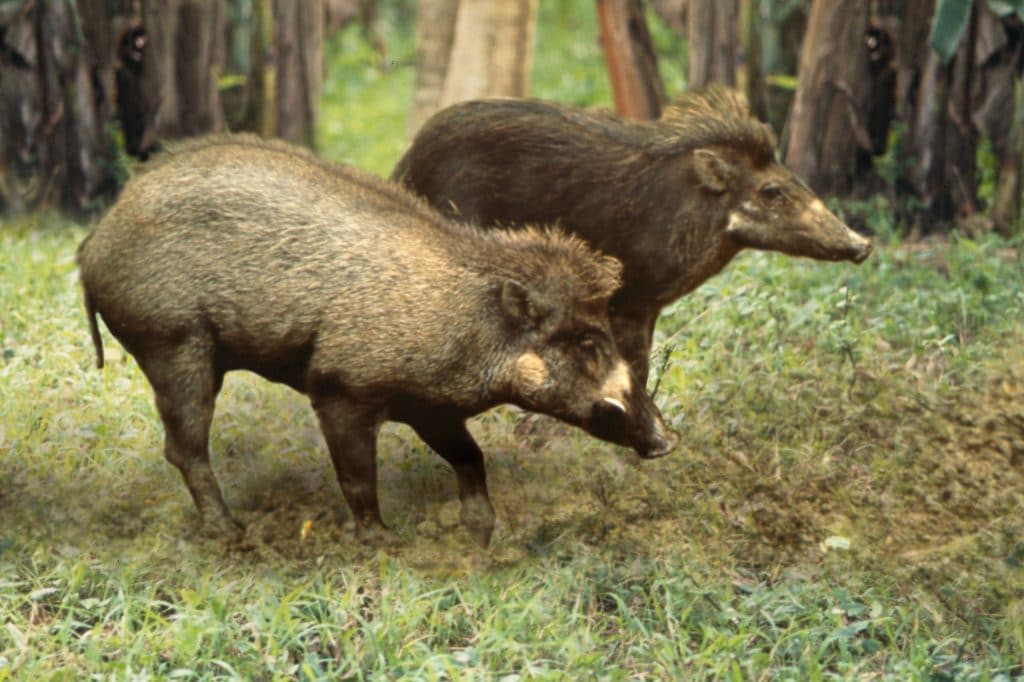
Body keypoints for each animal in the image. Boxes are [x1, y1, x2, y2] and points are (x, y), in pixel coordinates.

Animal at [75, 135, 675, 544]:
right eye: (587, 342)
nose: (666, 441)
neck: (466, 323)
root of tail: (94, 243)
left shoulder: (432, 408)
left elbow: (470, 457)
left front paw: (482, 534)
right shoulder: (340, 387)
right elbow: (358, 474)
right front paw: (383, 542)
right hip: (174, 344)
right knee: (184, 447)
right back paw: (232, 533)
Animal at [391, 83, 872, 382]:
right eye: (771, 190)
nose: (864, 244)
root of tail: (406, 162)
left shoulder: (647, 306)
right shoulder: (628, 302)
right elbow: (633, 368)